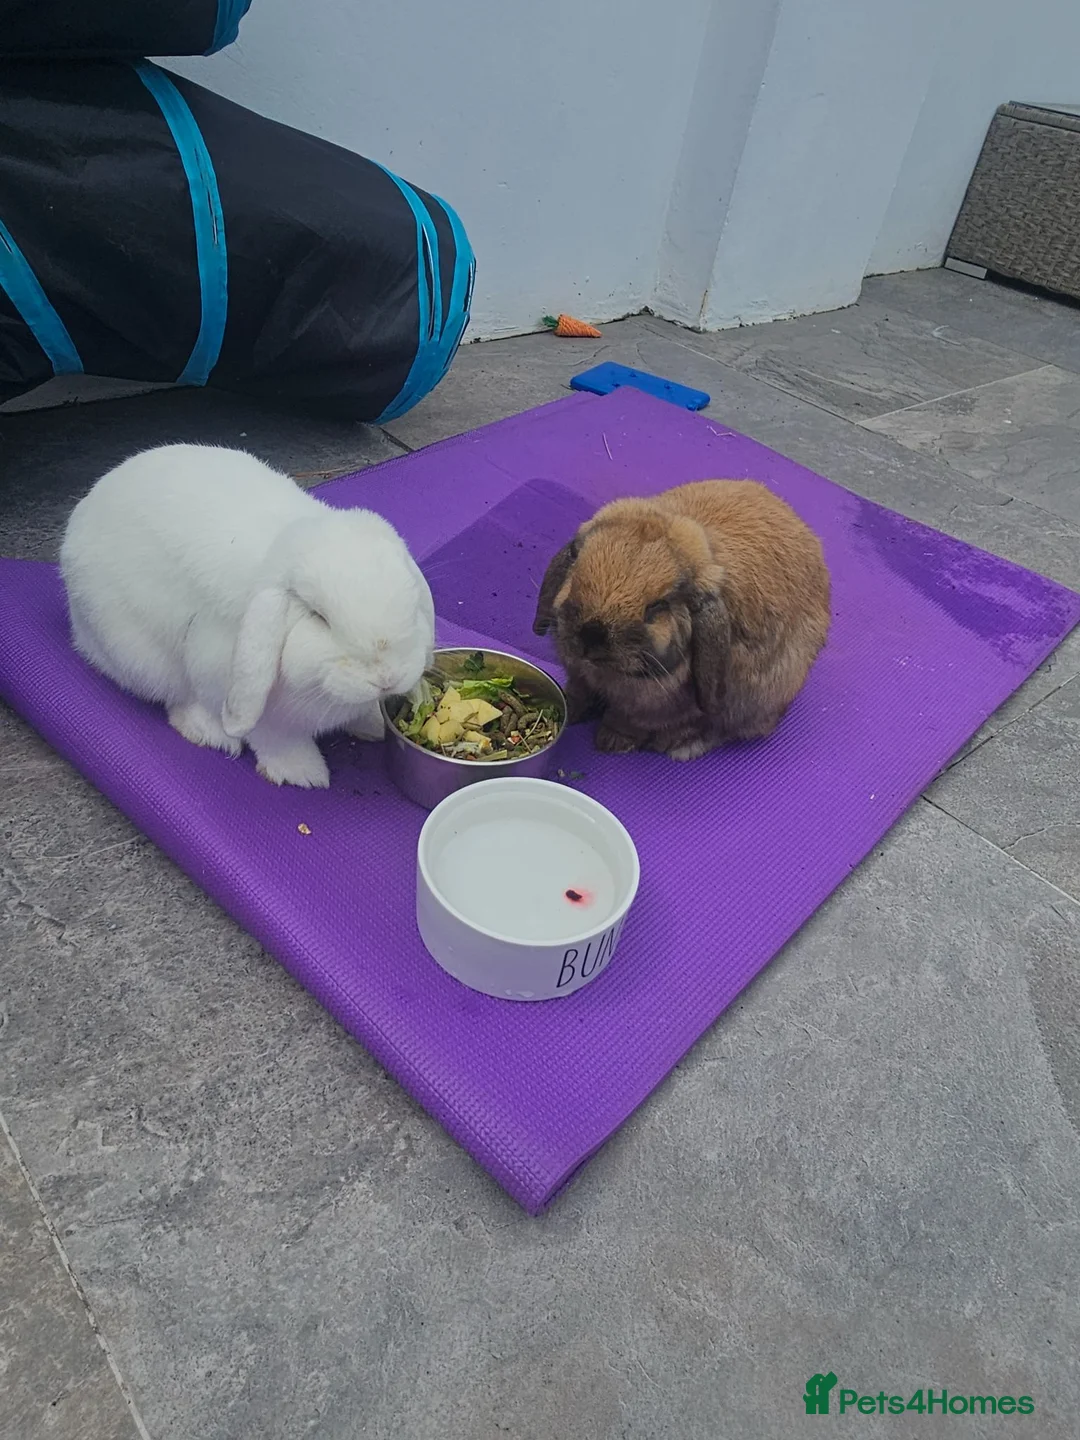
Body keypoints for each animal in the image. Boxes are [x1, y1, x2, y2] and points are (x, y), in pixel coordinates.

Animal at [60, 444, 435, 788]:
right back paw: (210, 732)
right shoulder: (242, 694)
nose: (387, 678)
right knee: (175, 697)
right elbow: (273, 738)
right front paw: (302, 773)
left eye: (412, 603)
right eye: (319, 617)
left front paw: (372, 723)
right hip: (140, 656)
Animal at [532, 479, 830, 761]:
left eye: (657, 606)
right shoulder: (579, 676)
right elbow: (578, 692)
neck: (605, 671)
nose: (591, 634)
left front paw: (611, 743)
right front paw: (571, 710)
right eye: (578, 573)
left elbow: (627, 723)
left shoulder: (646, 710)